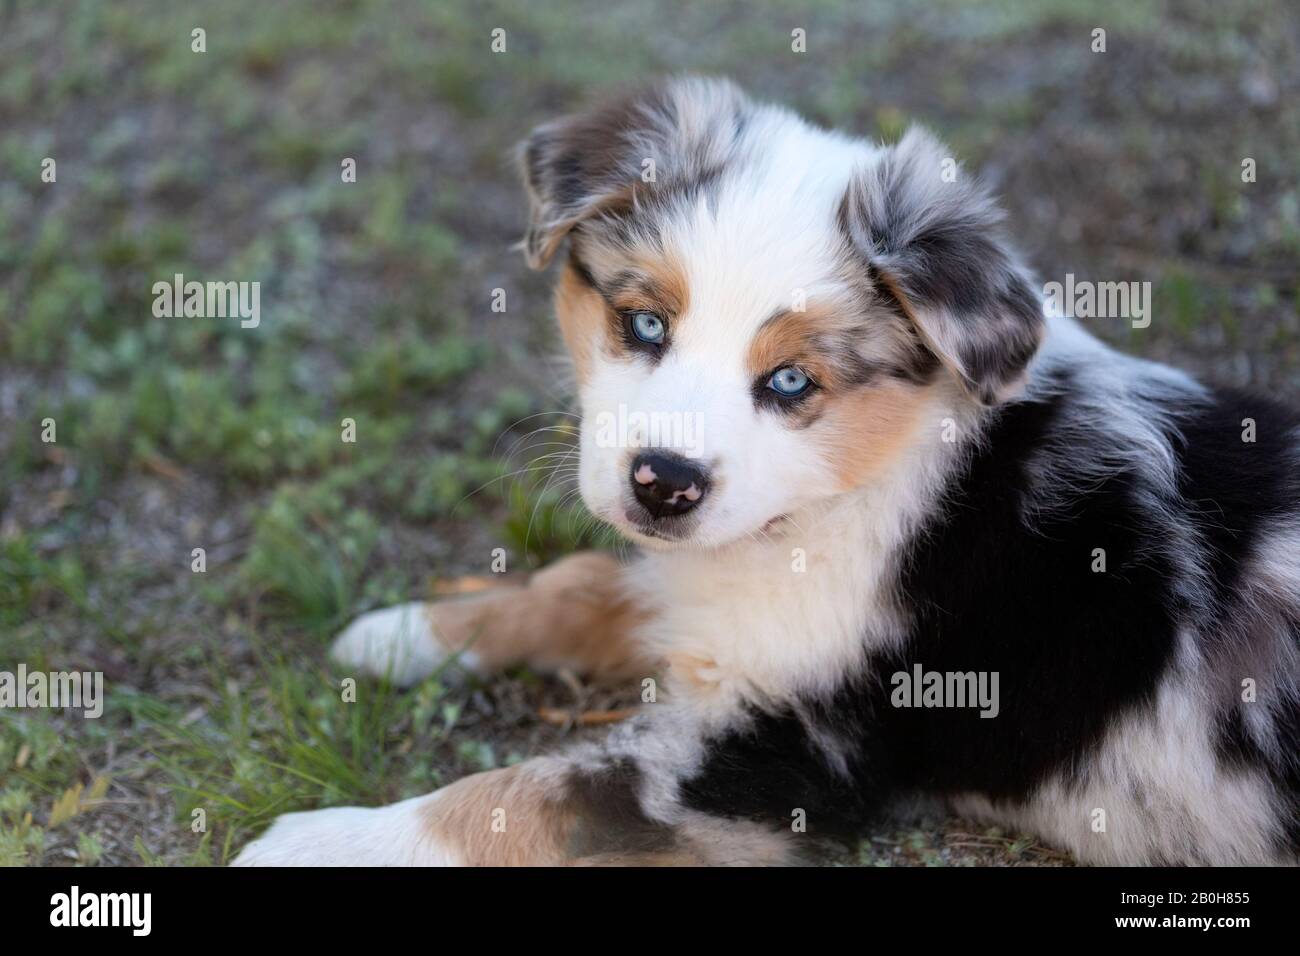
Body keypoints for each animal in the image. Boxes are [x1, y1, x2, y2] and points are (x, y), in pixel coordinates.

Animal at [233, 76, 1300, 868]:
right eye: (644, 323)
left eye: (791, 380)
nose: (663, 482)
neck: (848, 497)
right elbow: (582, 582)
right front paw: (409, 631)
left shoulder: (785, 752)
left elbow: (535, 794)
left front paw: (319, 842)